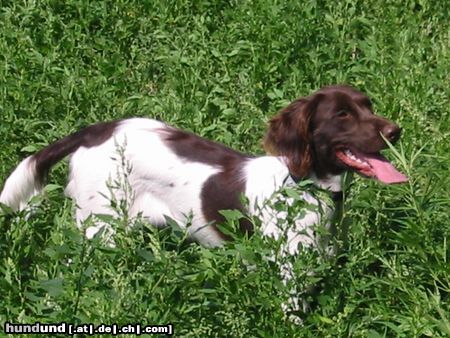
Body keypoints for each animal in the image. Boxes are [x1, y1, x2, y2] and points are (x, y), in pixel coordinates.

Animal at [0, 84, 408, 316]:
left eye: (368, 105)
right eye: (342, 114)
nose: (396, 131)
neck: (306, 189)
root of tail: (93, 131)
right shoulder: (289, 275)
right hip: (99, 229)